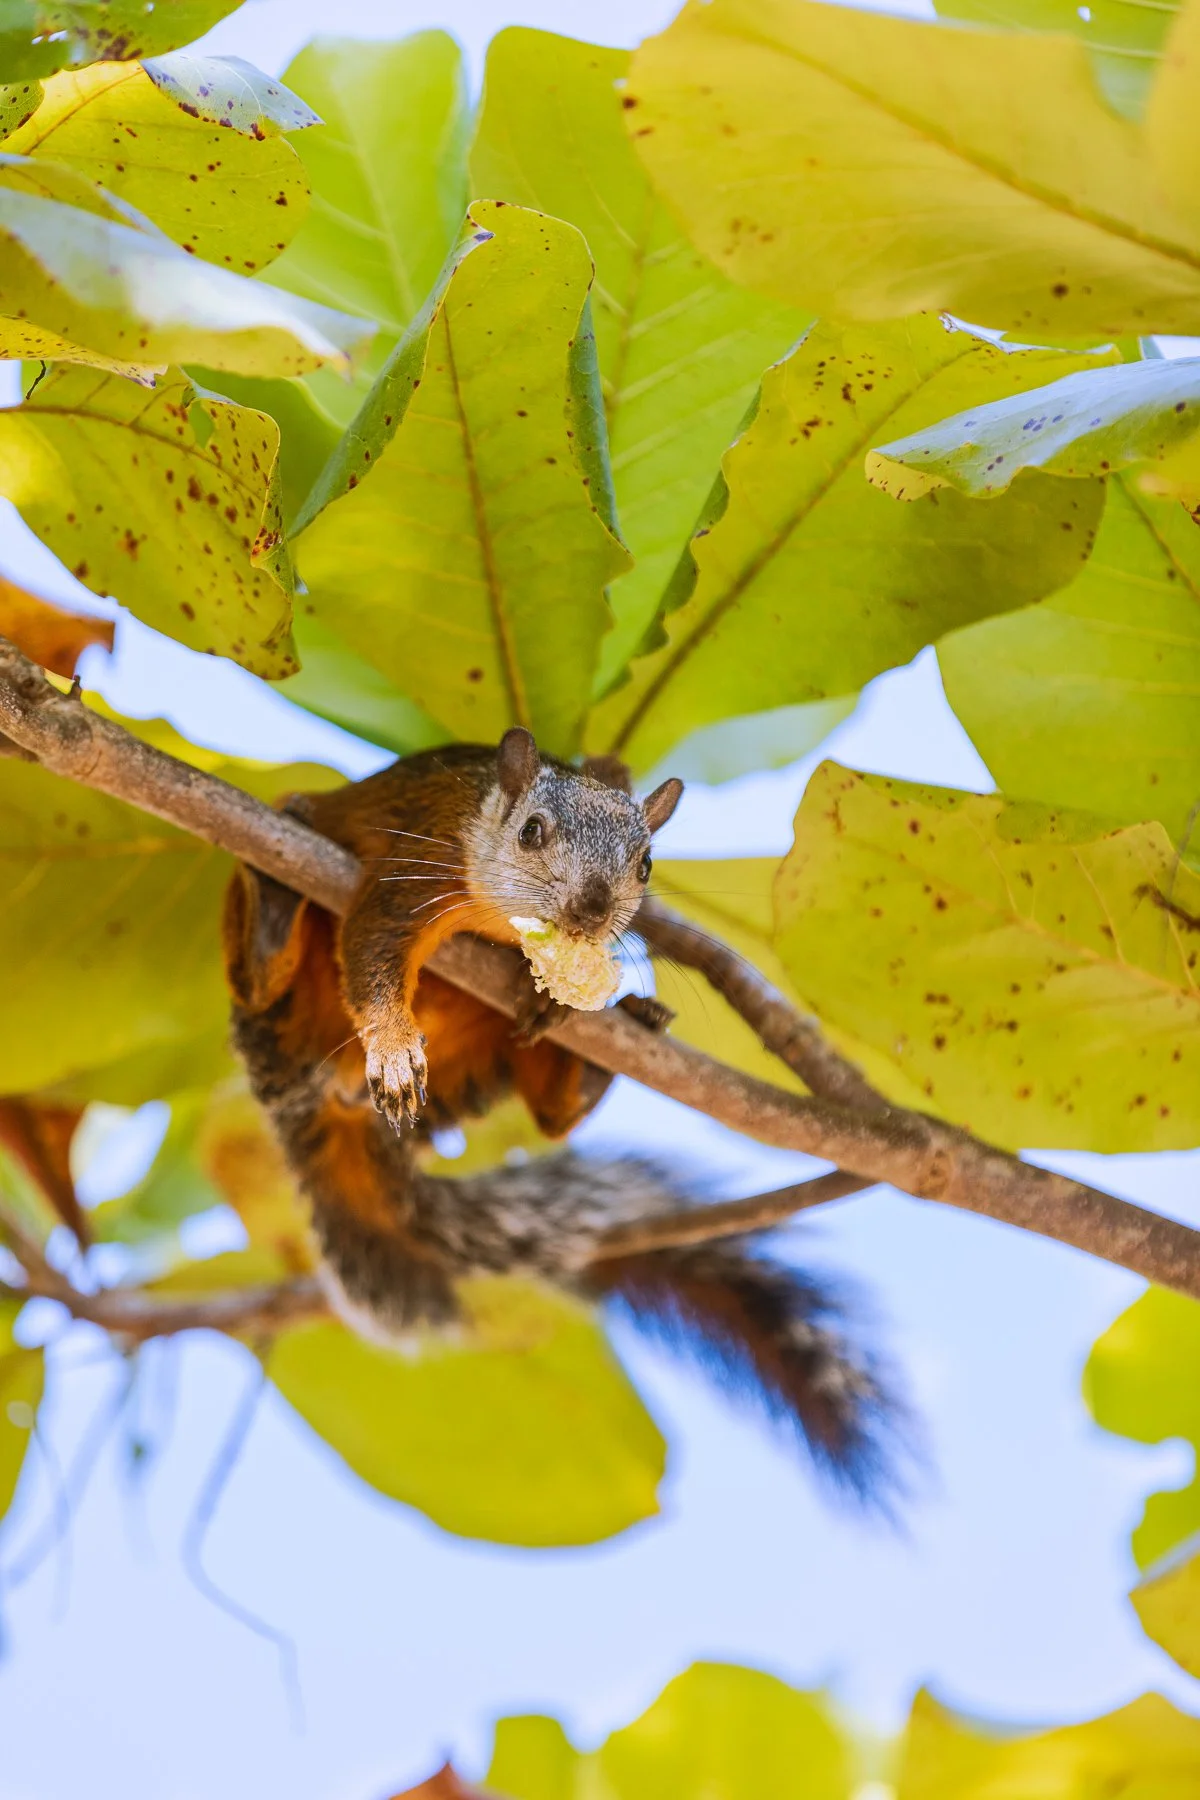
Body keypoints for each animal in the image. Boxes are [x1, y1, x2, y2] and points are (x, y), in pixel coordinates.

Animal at [223, 728, 895, 1496]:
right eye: (532, 832)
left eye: (647, 862)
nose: (592, 910)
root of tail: (317, 1087)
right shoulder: (407, 873)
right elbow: (372, 955)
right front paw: (392, 1047)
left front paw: (556, 997)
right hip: (273, 996)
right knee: (260, 977)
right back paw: (275, 910)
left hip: (482, 1061)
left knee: (548, 1115)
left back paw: (602, 1051)